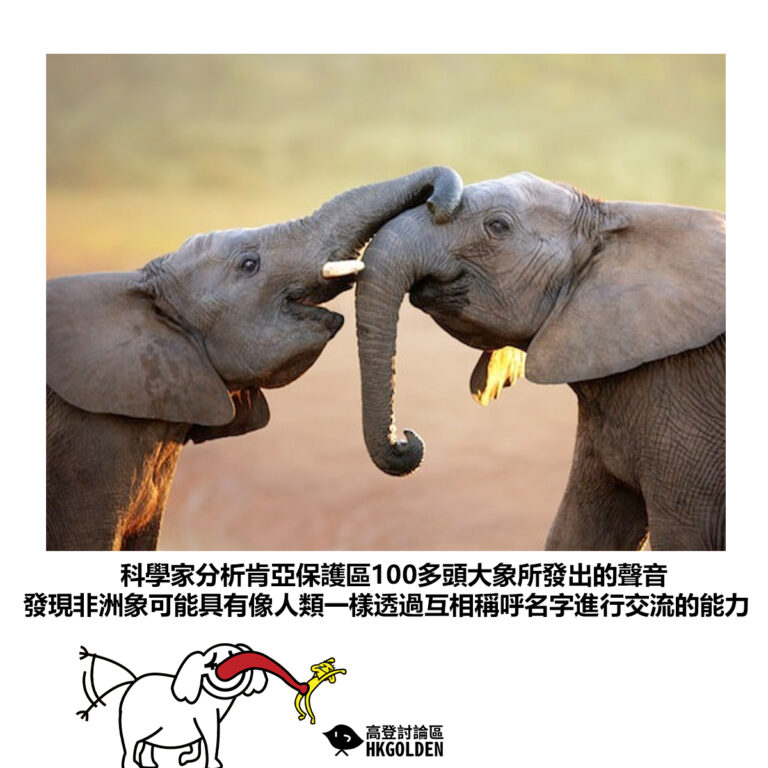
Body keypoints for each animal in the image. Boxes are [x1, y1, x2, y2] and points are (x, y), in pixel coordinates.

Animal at [354, 172, 725, 551]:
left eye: (498, 226)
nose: (406, 440)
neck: (611, 222)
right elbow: (579, 531)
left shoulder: (686, 405)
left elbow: (684, 538)